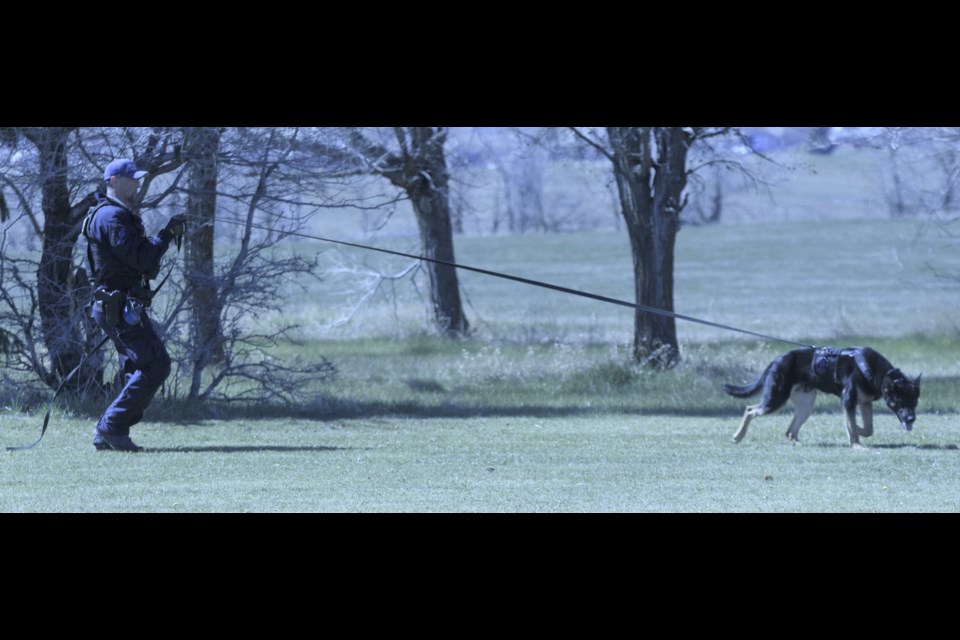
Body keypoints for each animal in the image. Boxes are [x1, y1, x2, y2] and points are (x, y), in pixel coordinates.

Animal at [724, 348, 920, 448]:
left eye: (915, 402)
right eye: (899, 402)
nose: (911, 419)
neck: (875, 371)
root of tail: (777, 360)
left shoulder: (864, 403)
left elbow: (868, 428)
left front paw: (856, 429)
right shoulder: (848, 400)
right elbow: (853, 427)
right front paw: (856, 444)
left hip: (806, 404)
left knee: (789, 431)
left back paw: (798, 444)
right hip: (776, 400)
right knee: (750, 410)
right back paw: (737, 436)